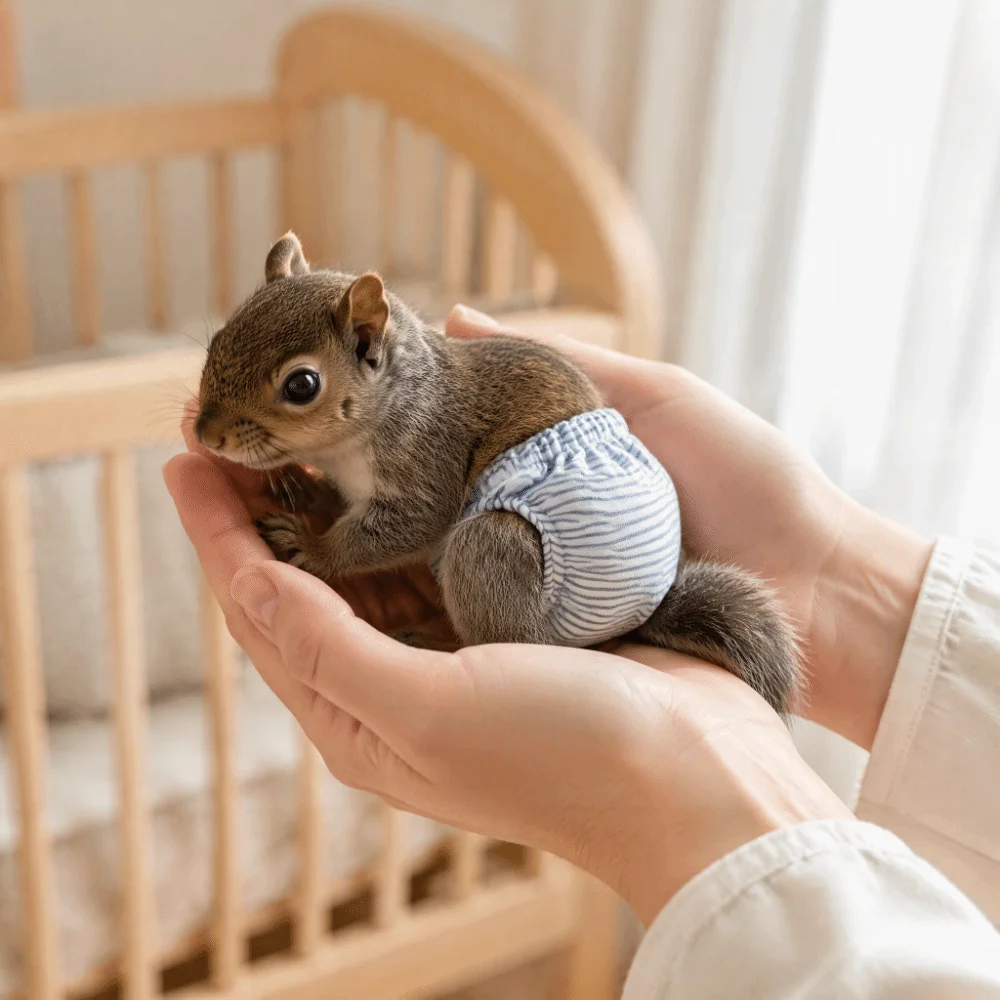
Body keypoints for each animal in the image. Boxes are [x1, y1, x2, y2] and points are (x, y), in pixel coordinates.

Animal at [196, 232, 800, 716]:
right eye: (217, 339)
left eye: (302, 385)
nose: (206, 435)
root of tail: (633, 617)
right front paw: (300, 487)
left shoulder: (426, 463)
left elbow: (398, 530)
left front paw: (311, 544)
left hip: (490, 549)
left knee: (508, 640)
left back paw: (439, 643)